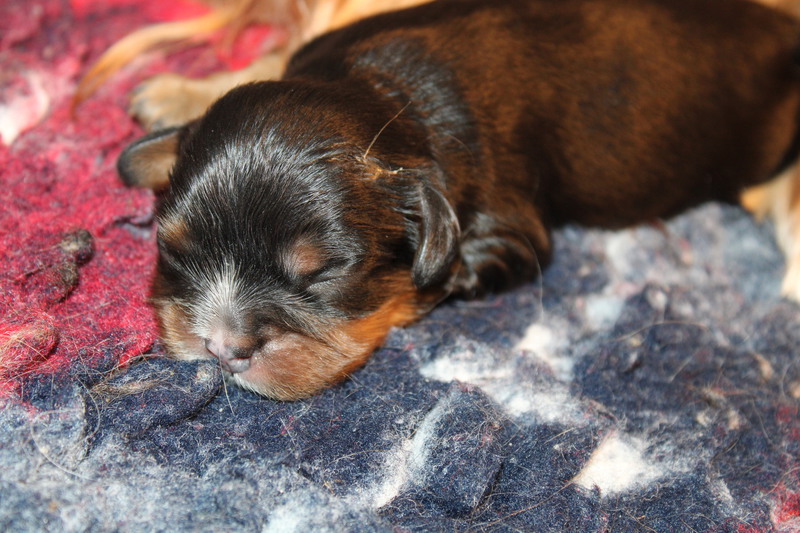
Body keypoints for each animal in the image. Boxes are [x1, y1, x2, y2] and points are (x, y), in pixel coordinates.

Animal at [117, 0, 800, 400]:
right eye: (173, 251)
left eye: (324, 272)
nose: (220, 348)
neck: (382, 91)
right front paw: (180, 91)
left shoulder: (512, 227)